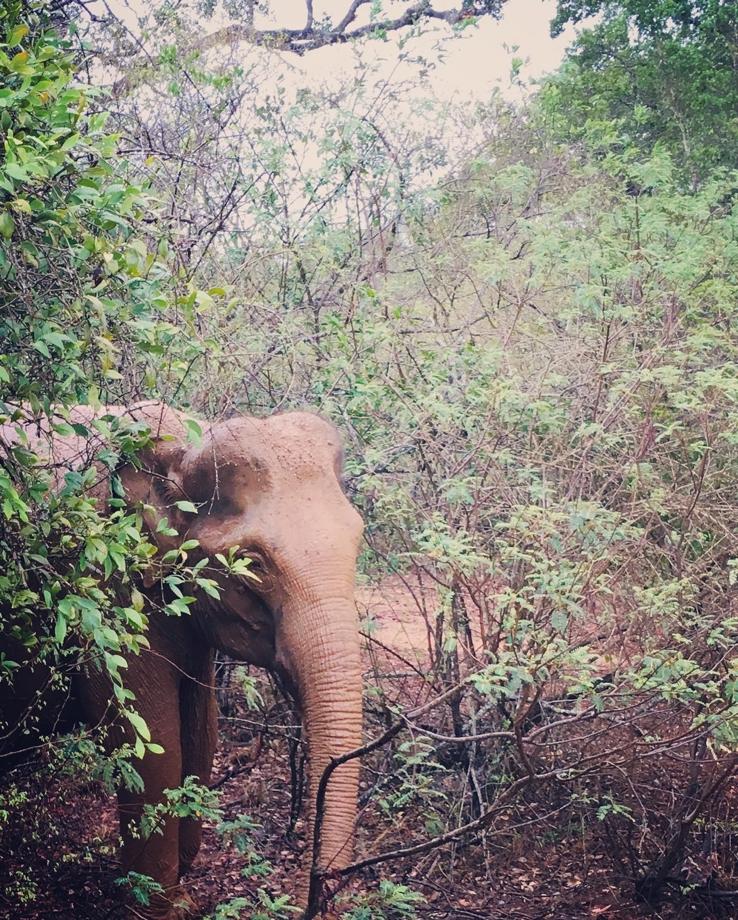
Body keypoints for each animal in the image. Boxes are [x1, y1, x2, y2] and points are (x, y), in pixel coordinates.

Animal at [0, 402, 364, 919]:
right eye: (253, 565)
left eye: (358, 540)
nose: (303, 898)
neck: (182, 441)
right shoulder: (103, 595)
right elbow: (151, 740)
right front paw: (162, 906)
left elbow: (202, 728)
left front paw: (178, 889)